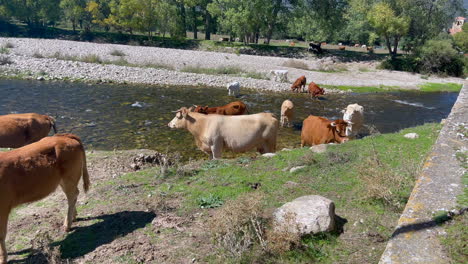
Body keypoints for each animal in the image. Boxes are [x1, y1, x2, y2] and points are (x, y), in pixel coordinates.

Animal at [0, 134, 90, 264]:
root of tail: (64, 136)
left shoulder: (3, 207)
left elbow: (1, 235)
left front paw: (3, 258)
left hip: (69, 177)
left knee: (72, 196)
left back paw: (67, 224)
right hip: (63, 180)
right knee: (74, 194)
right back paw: (73, 216)